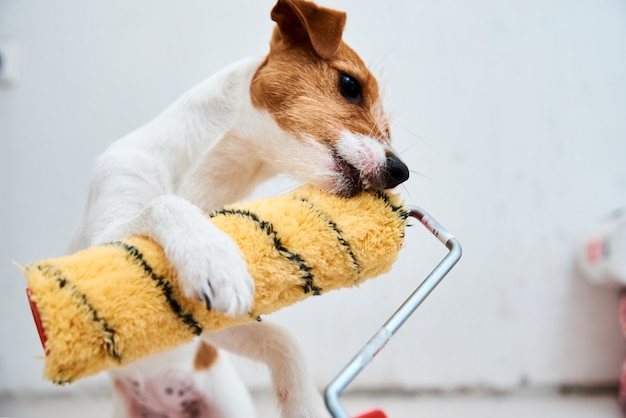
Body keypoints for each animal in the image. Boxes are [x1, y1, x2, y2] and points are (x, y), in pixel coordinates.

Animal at [69, 1, 410, 416]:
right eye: (350, 85)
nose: (400, 172)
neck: (205, 178)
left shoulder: (209, 327)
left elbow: (283, 341)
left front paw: (304, 404)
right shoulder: (97, 248)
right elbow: (164, 204)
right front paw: (212, 259)